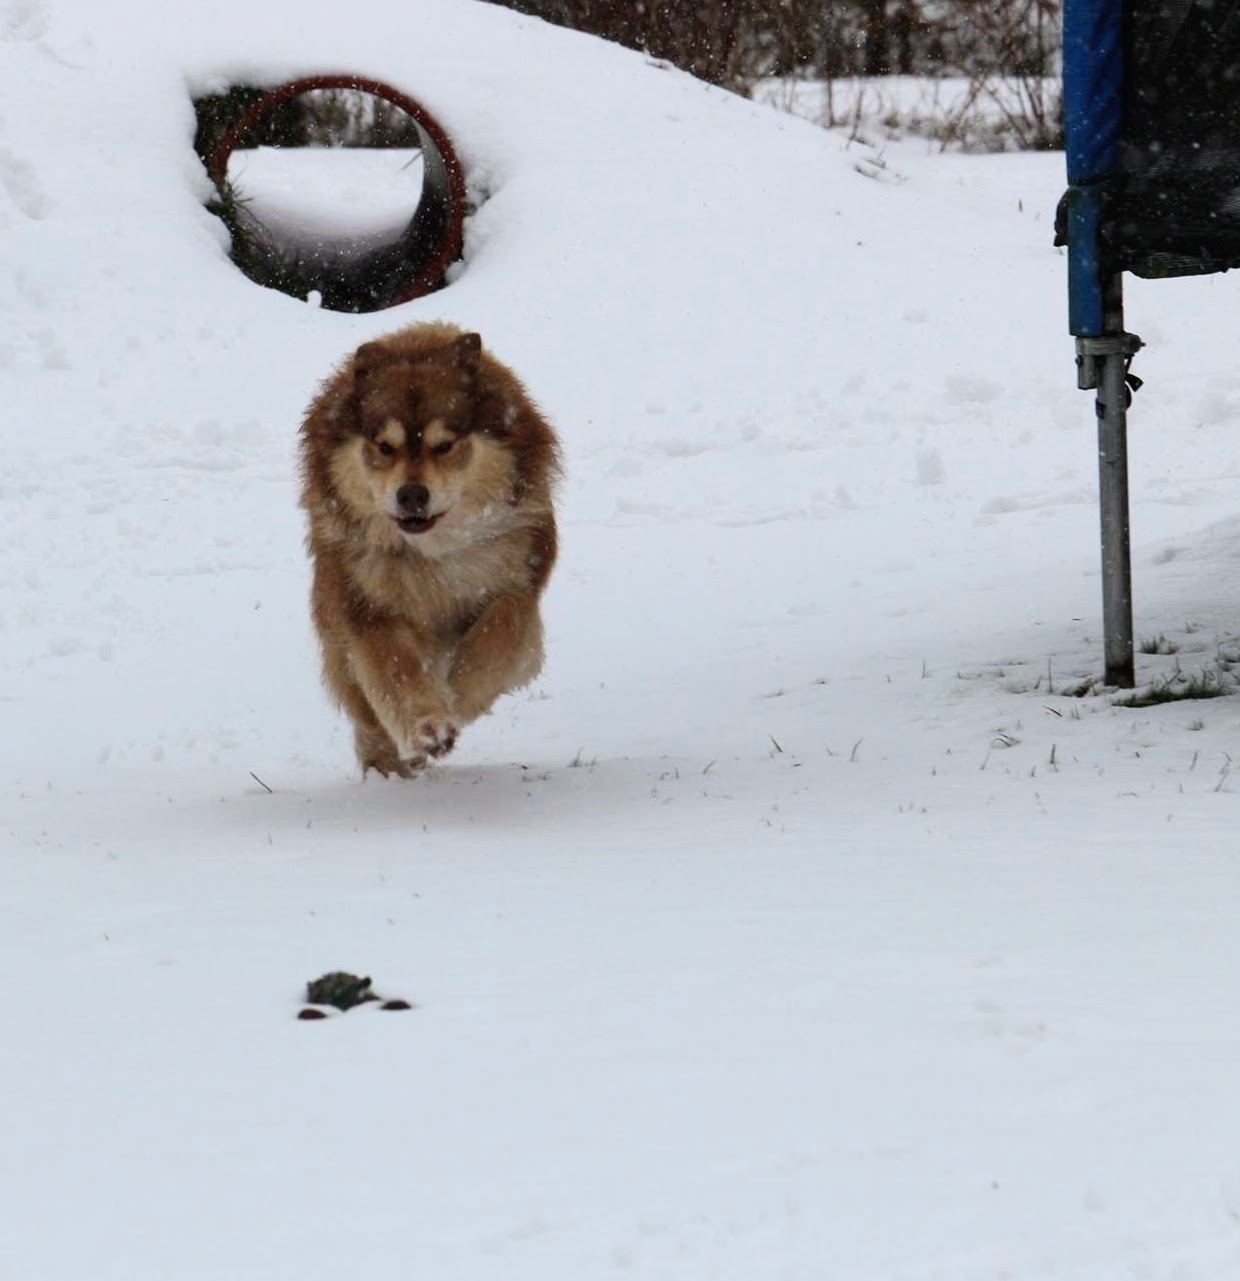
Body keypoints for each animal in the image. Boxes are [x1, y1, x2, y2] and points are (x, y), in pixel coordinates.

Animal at [298, 325, 558, 773]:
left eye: (444, 445)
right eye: (385, 447)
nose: (412, 495)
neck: (433, 555)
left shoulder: (518, 582)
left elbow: (496, 640)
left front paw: (459, 701)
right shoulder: (368, 607)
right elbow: (397, 673)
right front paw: (430, 727)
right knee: (367, 714)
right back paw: (386, 761)